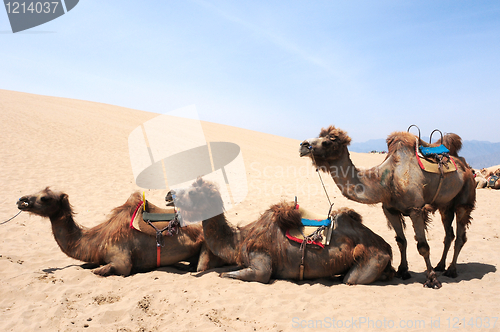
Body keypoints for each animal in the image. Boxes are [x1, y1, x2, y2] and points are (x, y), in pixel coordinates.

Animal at [17, 188, 221, 276]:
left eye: (44, 198)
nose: (21, 200)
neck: (99, 240)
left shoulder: (121, 258)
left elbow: (104, 270)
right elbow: (87, 266)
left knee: (201, 266)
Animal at [167, 179, 394, 286]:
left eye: (193, 192)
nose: (169, 195)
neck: (239, 239)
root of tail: (387, 248)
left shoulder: (261, 260)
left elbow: (236, 274)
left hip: (372, 258)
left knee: (350, 279)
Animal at [298, 125, 474, 288]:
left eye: (329, 140)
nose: (303, 145)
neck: (387, 181)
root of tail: (465, 165)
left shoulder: (416, 210)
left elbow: (423, 246)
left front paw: (432, 280)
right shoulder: (390, 210)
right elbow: (401, 241)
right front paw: (403, 271)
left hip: (464, 198)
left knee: (460, 236)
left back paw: (451, 270)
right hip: (446, 205)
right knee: (449, 234)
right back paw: (440, 266)